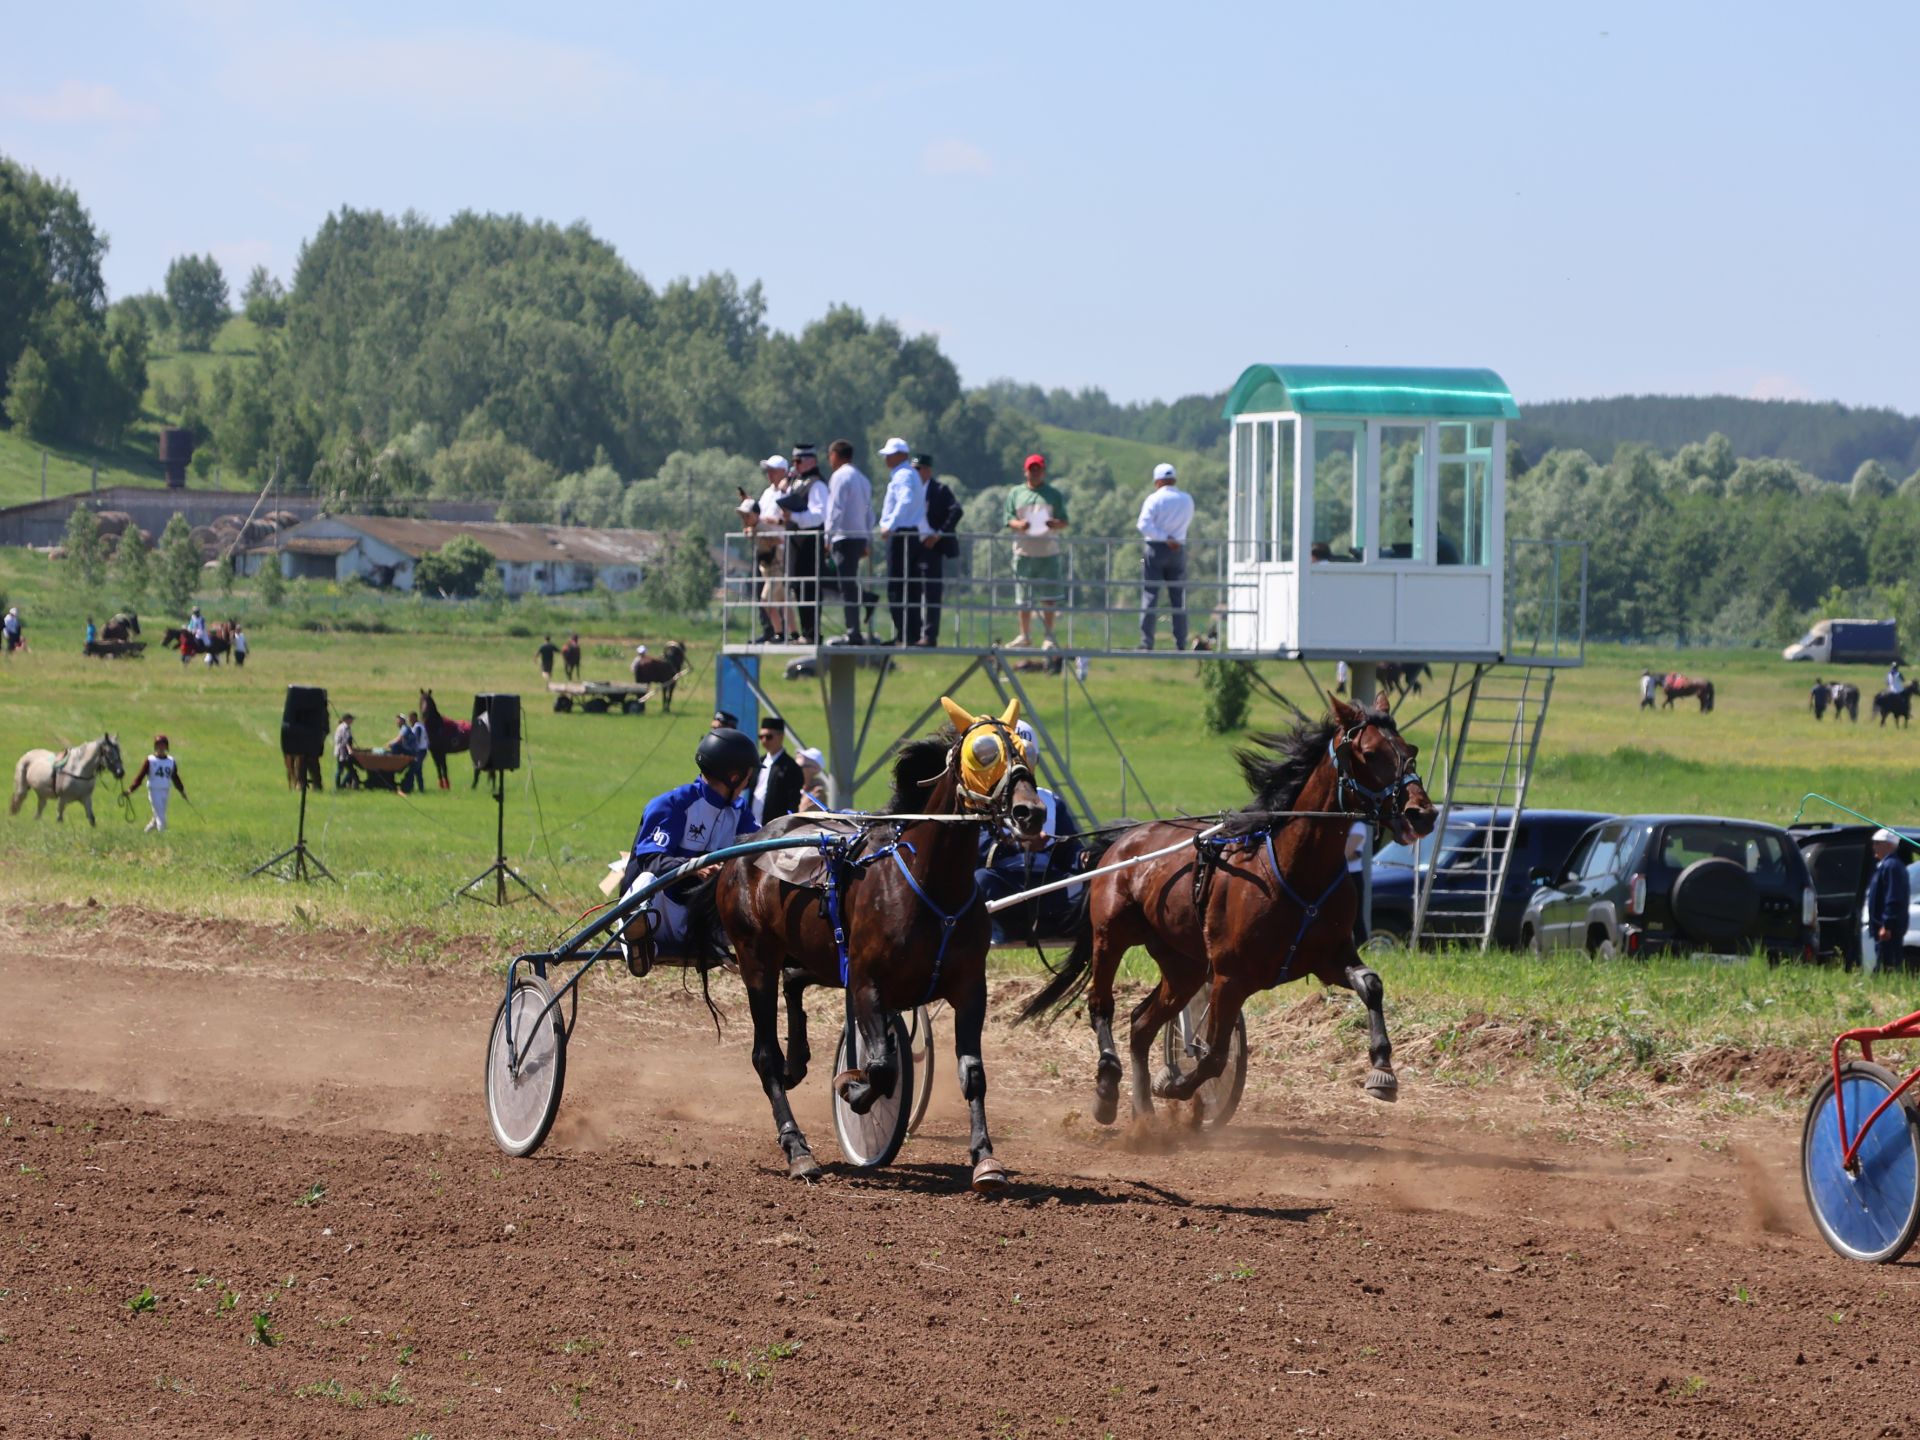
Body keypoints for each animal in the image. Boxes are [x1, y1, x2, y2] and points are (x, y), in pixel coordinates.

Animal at [710, 698, 1044, 1198]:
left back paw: (797, 1061)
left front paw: (986, 1160)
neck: (932, 885)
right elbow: (883, 1068)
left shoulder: (970, 988)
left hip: (818, 957)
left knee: (795, 981)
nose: (1030, 813)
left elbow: (972, 1073)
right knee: (765, 1053)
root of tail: (748, 844)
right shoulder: (868, 984)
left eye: (1027, 750)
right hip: (756, 958)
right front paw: (852, 1088)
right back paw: (797, 1148)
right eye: (983, 752)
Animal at [1029, 695, 1436, 1128]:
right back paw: (1107, 1088)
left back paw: (1145, 1113)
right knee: (1102, 1006)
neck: (1297, 869)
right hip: (1111, 936)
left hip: (1184, 965)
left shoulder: (1329, 956)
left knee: (1141, 1024)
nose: (1422, 813)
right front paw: (1177, 1085)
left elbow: (1371, 984)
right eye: (1371, 753)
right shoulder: (1229, 977)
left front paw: (1383, 1069)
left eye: (1410, 750)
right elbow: (1215, 1056)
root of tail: (1124, 839)